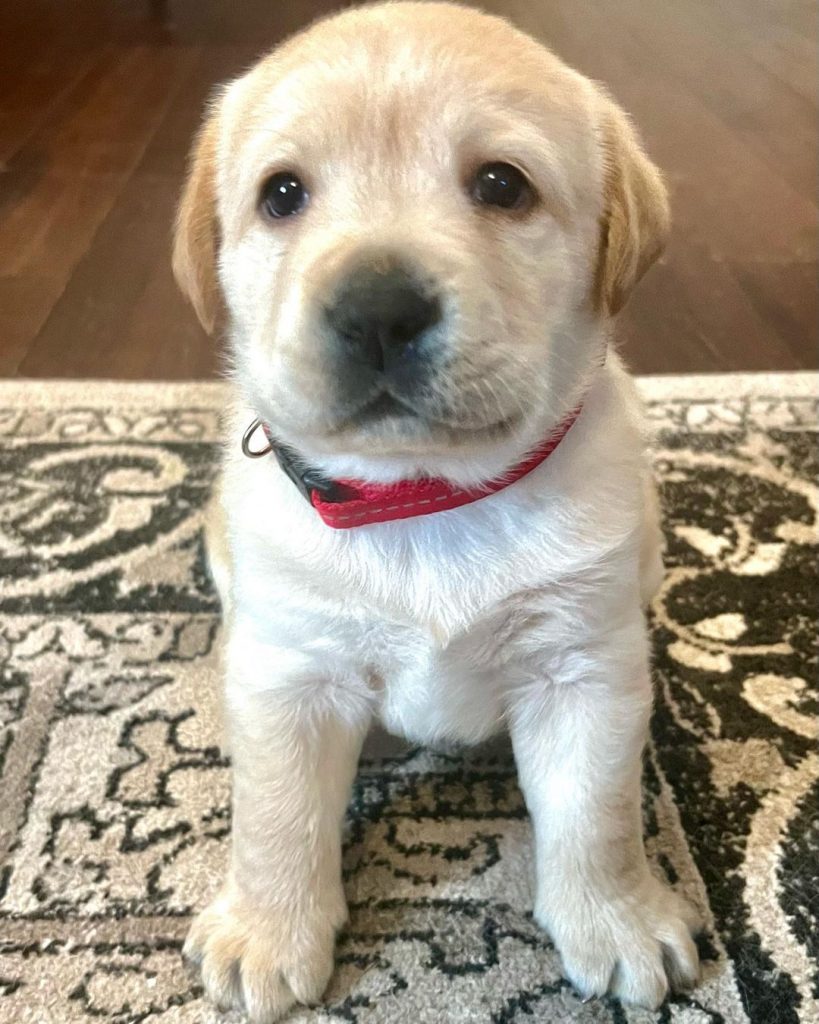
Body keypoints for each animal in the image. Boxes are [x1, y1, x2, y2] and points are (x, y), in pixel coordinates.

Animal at [170, 4, 696, 1019]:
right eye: (282, 194)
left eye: (501, 185)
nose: (376, 309)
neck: (423, 493)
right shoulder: (291, 671)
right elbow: (275, 813)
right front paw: (269, 929)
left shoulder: (583, 671)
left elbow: (598, 812)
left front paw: (614, 919)